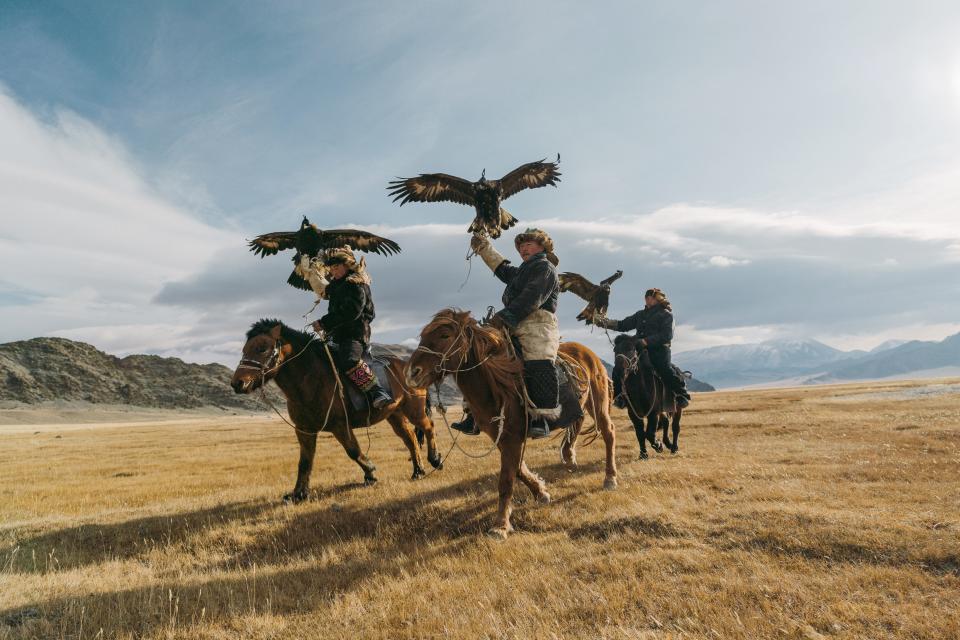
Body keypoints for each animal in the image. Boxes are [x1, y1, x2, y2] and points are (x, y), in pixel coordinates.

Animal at [232, 318, 442, 502]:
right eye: (244, 349)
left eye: (262, 348)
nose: (237, 383)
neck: (311, 379)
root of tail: (410, 366)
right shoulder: (304, 430)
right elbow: (305, 461)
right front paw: (298, 494)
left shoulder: (340, 425)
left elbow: (353, 451)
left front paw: (371, 473)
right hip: (395, 414)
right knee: (410, 438)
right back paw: (418, 471)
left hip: (414, 409)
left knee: (428, 427)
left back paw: (435, 460)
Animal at [404, 308, 616, 536]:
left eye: (445, 336)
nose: (412, 373)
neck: (495, 384)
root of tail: (589, 353)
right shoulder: (502, 437)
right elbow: (518, 469)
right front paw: (541, 492)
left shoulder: (513, 437)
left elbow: (506, 479)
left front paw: (500, 525)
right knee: (577, 422)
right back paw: (569, 458)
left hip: (598, 402)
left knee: (609, 432)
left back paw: (610, 478)